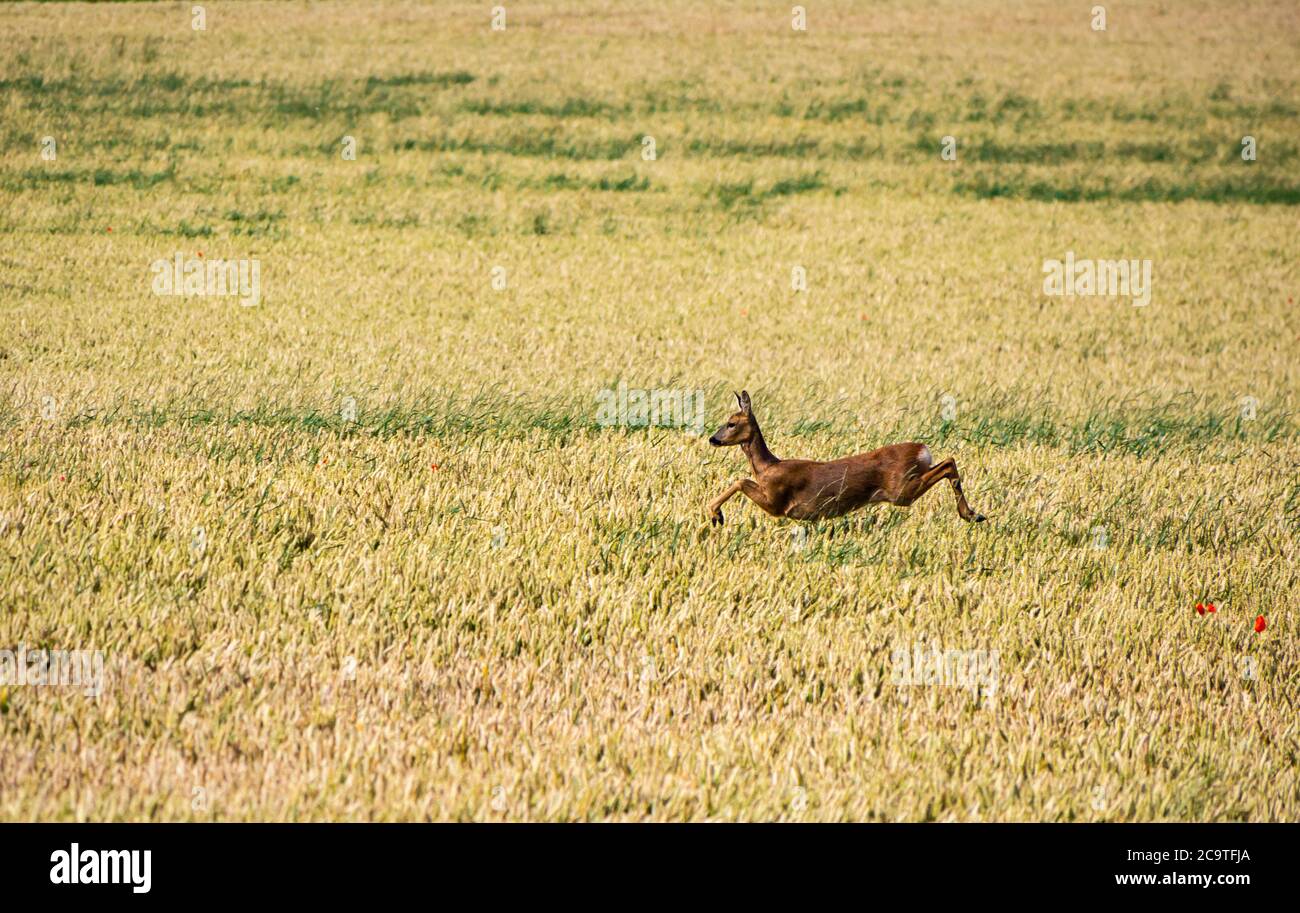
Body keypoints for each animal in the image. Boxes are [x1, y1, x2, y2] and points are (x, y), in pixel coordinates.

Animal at [707, 392, 987, 530]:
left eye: (731, 423)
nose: (713, 439)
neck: (768, 467)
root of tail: (922, 449)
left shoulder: (776, 502)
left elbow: (740, 480)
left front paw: (716, 515)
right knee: (947, 463)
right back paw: (973, 514)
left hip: (901, 490)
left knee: (948, 462)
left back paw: (971, 514)